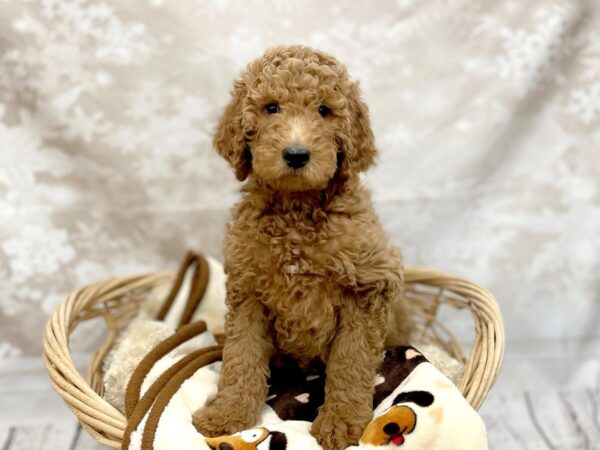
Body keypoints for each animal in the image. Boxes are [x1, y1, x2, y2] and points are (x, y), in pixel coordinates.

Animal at [192, 44, 408, 450]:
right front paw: (228, 415)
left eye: (324, 110)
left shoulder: (368, 288)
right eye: (271, 107)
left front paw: (342, 423)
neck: (296, 211)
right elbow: (241, 356)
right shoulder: (248, 290)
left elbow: (351, 361)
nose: (296, 154)